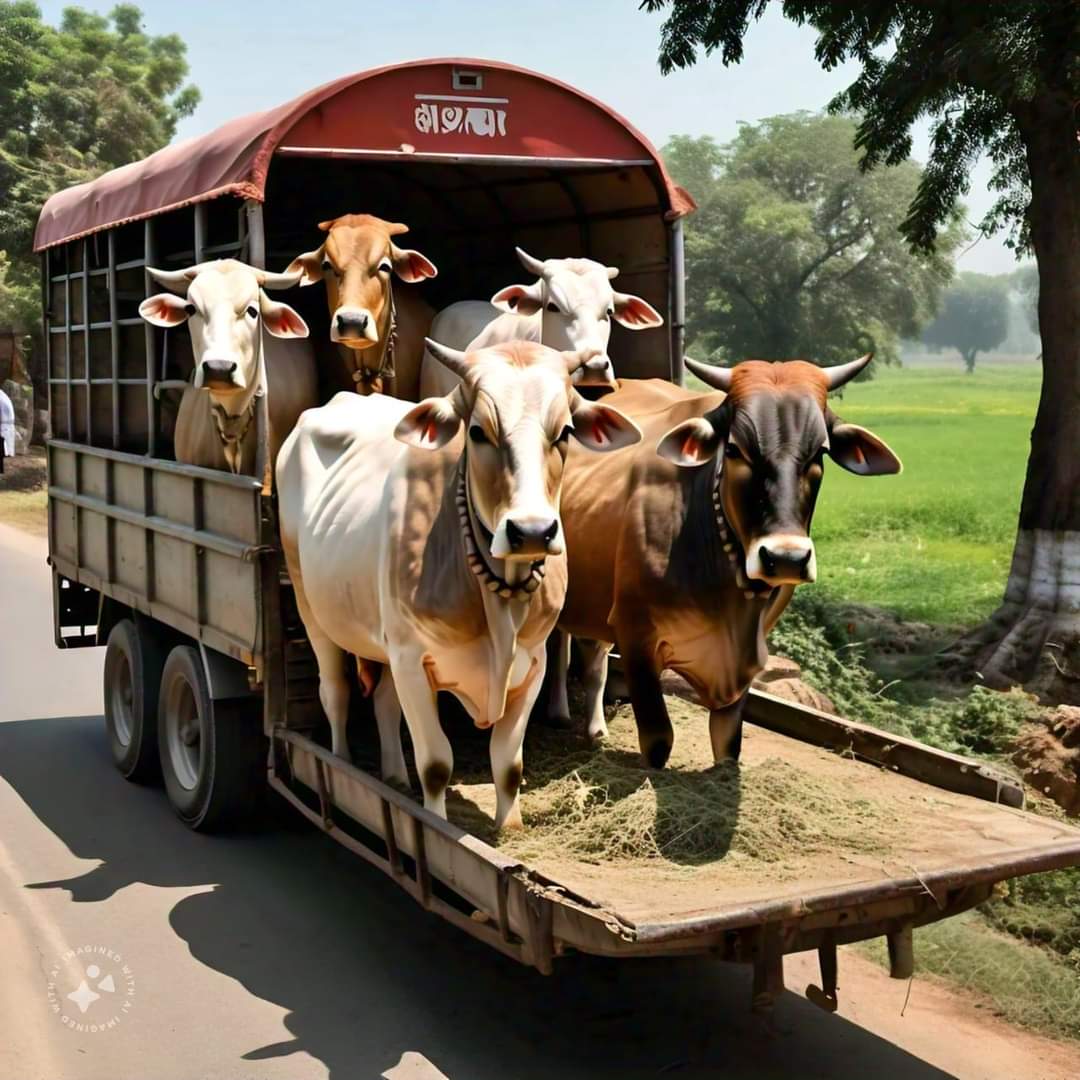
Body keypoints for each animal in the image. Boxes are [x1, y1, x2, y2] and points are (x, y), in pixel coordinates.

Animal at [275, 339, 641, 830]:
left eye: (564, 432)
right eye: (479, 432)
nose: (532, 531)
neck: (499, 601)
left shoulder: (532, 661)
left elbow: (508, 764)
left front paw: (509, 825)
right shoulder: (412, 659)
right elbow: (435, 764)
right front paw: (435, 824)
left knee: (384, 703)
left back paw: (393, 778)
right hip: (310, 606)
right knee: (334, 693)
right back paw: (340, 765)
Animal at [553, 356, 902, 765]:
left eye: (819, 453)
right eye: (735, 449)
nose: (786, 558)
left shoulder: (747, 660)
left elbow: (727, 745)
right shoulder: (635, 635)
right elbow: (659, 741)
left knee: (593, 656)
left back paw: (595, 728)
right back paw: (560, 712)